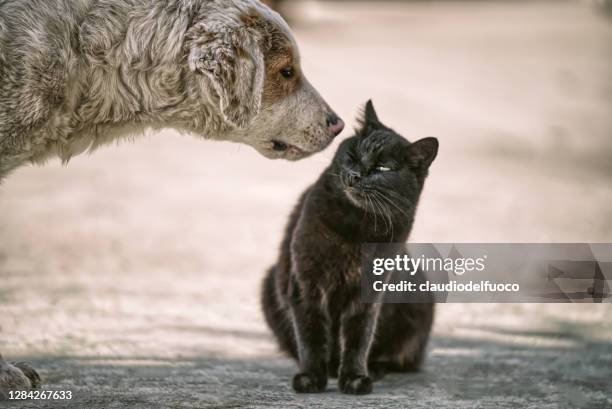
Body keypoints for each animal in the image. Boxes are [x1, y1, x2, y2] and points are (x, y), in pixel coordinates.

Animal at [260, 100, 438, 394]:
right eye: (353, 154)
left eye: (383, 169)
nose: (355, 175)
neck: (355, 226)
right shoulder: (306, 282)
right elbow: (311, 334)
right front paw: (311, 377)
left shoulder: (370, 291)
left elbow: (358, 337)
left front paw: (355, 378)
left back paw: (374, 368)